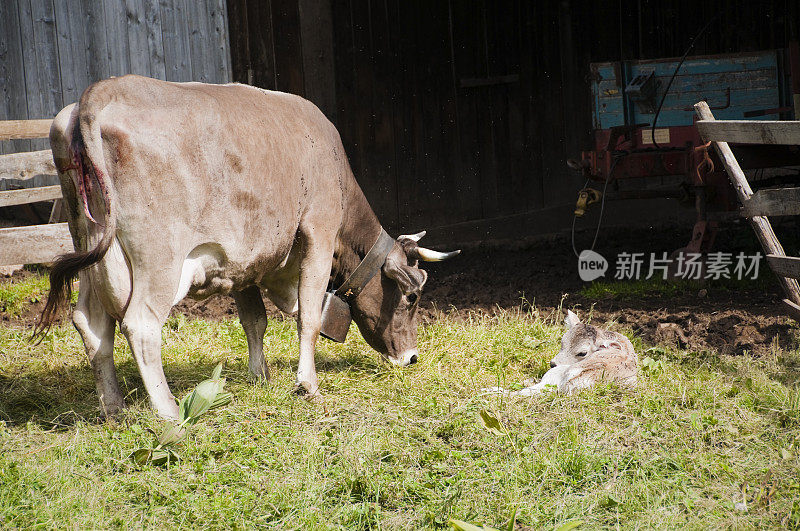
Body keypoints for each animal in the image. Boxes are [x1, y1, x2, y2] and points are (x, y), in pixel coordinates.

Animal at [37, 76, 460, 420]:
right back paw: (170, 412)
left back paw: (114, 408)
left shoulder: (242, 262)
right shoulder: (319, 232)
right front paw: (307, 385)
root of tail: (103, 90)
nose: (411, 357)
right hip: (159, 260)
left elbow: (255, 320)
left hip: (91, 249)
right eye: (412, 296)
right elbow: (309, 316)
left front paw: (261, 376)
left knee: (91, 323)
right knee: (141, 324)